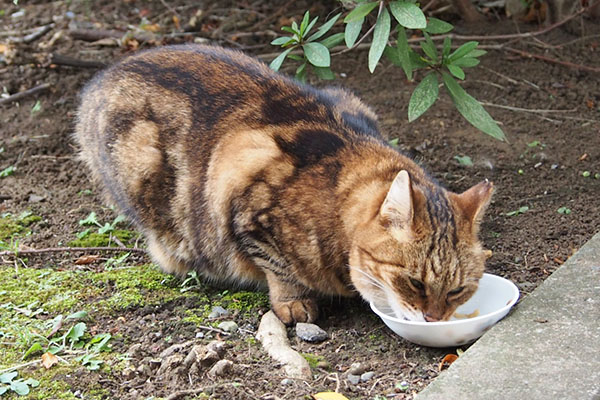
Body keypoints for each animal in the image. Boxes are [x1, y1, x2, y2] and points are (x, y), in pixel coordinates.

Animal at [74, 43, 492, 324]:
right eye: (415, 284)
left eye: (457, 290)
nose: (434, 319)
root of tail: (102, 75)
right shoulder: (243, 193)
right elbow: (279, 267)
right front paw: (292, 301)